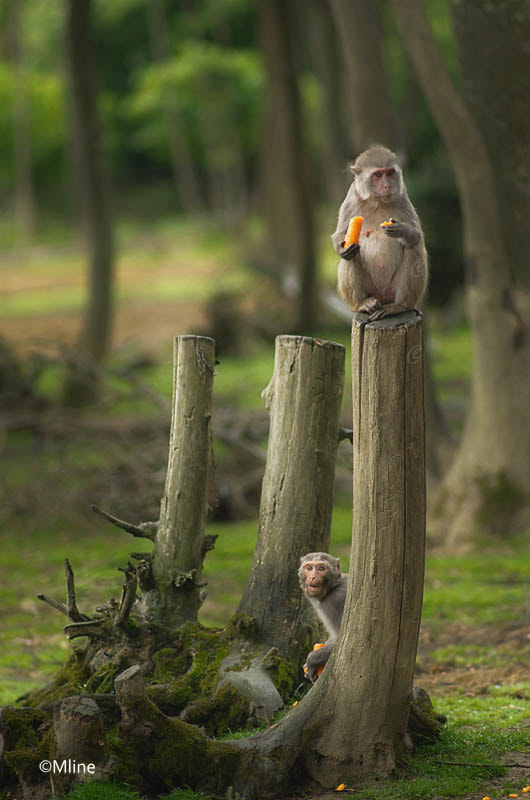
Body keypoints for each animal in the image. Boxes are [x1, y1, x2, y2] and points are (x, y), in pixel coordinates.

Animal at [296, 552, 346, 684]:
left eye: (321, 568)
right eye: (309, 568)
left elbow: (339, 640)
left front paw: (312, 660)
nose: (313, 577)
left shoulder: (336, 601)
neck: (333, 587)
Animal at [332, 145, 426, 320]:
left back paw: (400, 306)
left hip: (393, 290)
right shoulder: (351, 198)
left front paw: (401, 229)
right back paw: (362, 304)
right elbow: (340, 235)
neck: (377, 201)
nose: (387, 186)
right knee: (352, 254)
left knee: (412, 249)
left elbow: (416, 236)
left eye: (389, 173)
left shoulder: (402, 195)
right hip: (371, 290)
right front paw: (342, 247)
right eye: (377, 175)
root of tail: (382, 297)